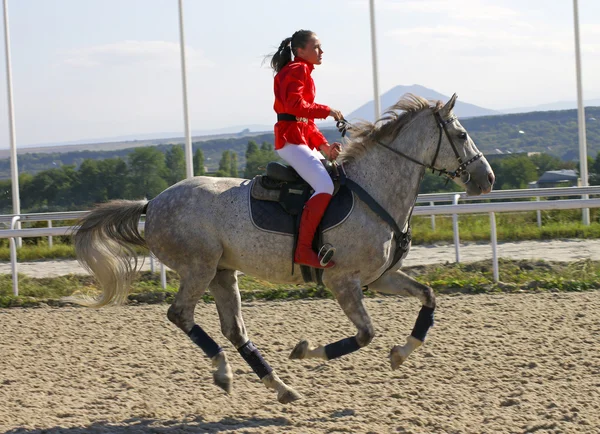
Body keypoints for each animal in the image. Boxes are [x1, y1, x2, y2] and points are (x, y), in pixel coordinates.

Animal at [75, 94, 494, 404]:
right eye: (460, 135)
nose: (486, 179)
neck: (375, 192)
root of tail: (153, 202)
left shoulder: (381, 278)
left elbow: (427, 297)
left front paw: (401, 353)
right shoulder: (343, 281)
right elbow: (365, 334)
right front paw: (307, 351)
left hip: (223, 273)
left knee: (234, 329)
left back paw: (278, 387)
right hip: (199, 269)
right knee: (181, 315)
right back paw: (224, 369)